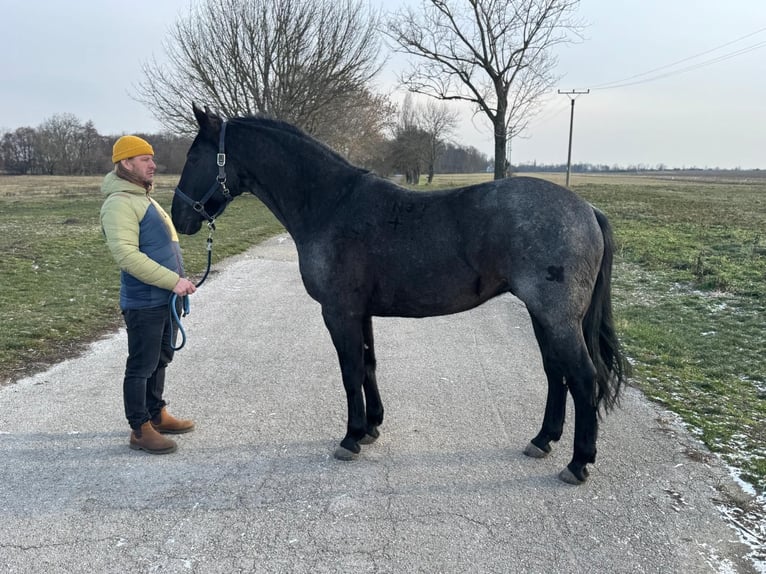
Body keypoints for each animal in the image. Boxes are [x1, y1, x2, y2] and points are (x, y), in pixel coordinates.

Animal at [172, 105, 628, 484]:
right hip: (543, 315)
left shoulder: (339, 312)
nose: (178, 217)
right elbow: (369, 366)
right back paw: (542, 440)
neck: (330, 205)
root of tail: (587, 210)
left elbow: (350, 371)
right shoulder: (361, 313)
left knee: (582, 378)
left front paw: (350, 437)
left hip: (556, 317)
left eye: (193, 157)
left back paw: (578, 463)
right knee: (556, 373)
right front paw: (371, 427)